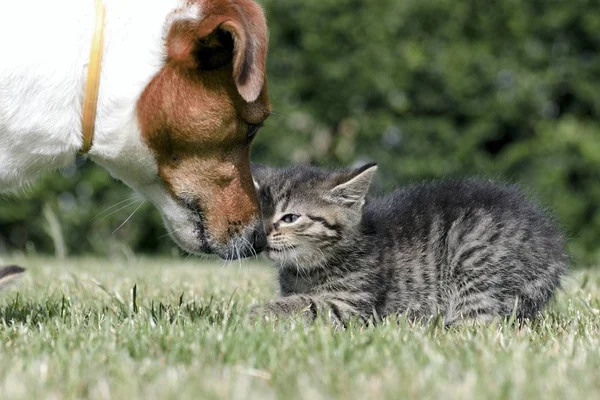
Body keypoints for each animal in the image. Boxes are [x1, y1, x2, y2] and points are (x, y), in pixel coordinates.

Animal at [252, 162, 568, 324]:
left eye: (290, 217)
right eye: (260, 213)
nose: (261, 235)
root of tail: (552, 245)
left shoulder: (353, 305)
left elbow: (309, 304)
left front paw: (258, 313)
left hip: (475, 261)